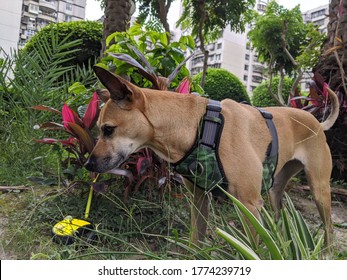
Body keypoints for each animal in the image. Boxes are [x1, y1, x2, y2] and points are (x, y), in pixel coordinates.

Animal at [86, 66, 340, 248]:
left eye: (108, 129)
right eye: (99, 129)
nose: (88, 164)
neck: (197, 125)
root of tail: (317, 122)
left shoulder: (249, 205)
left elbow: (252, 249)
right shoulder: (199, 199)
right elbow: (195, 244)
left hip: (319, 189)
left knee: (328, 228)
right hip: (276, 190)